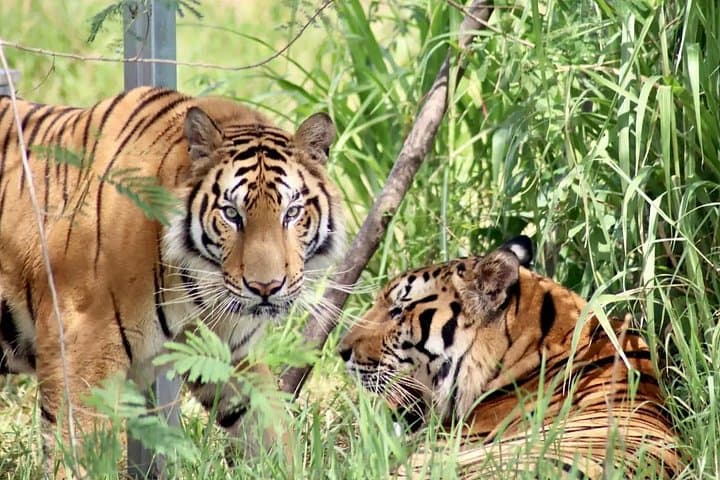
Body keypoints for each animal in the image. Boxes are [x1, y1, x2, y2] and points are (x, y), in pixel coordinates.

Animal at [0, 86, 344, 471]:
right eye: (231, 214)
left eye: (292, 212)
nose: (266, 288)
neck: (195, 284)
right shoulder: (80, 345)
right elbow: (78, 452)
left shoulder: (227, 352)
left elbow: (269, 430)